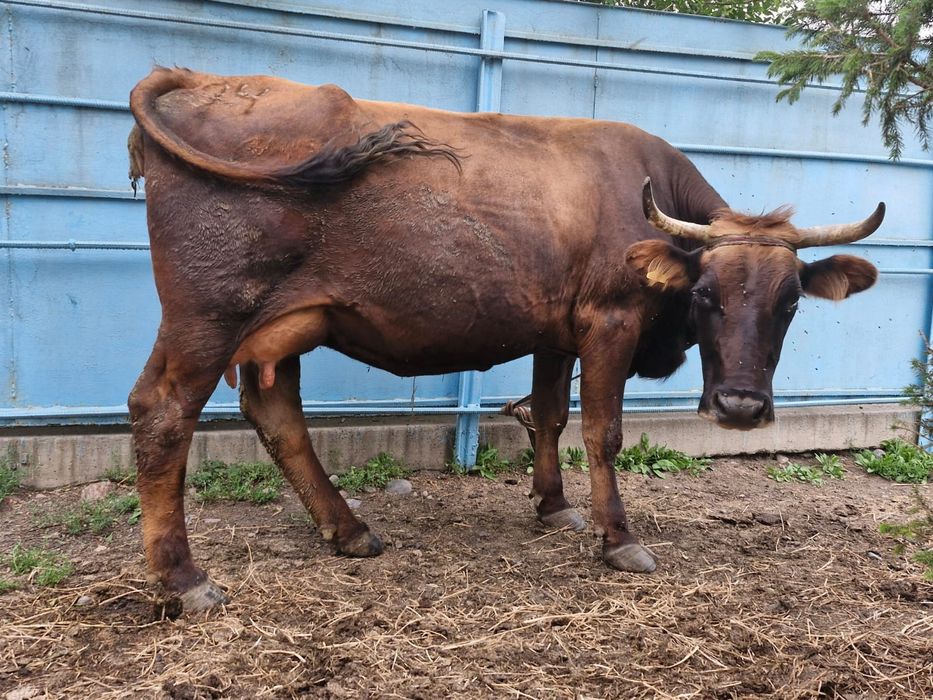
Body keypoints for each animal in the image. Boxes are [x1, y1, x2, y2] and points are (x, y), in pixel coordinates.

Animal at [127, 68, 884, 612]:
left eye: (789, 304)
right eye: (704, 296)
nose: (740, 408)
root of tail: (199, 77)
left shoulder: (558, 329)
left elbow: (547, 415)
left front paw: (554, 507)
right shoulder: (609, 321)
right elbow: (602, 431)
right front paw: (619, 538)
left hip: (281, 326)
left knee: (276, 413)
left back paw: (349, 530)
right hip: (206, 314)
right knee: (162, 414)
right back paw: (185, 580)